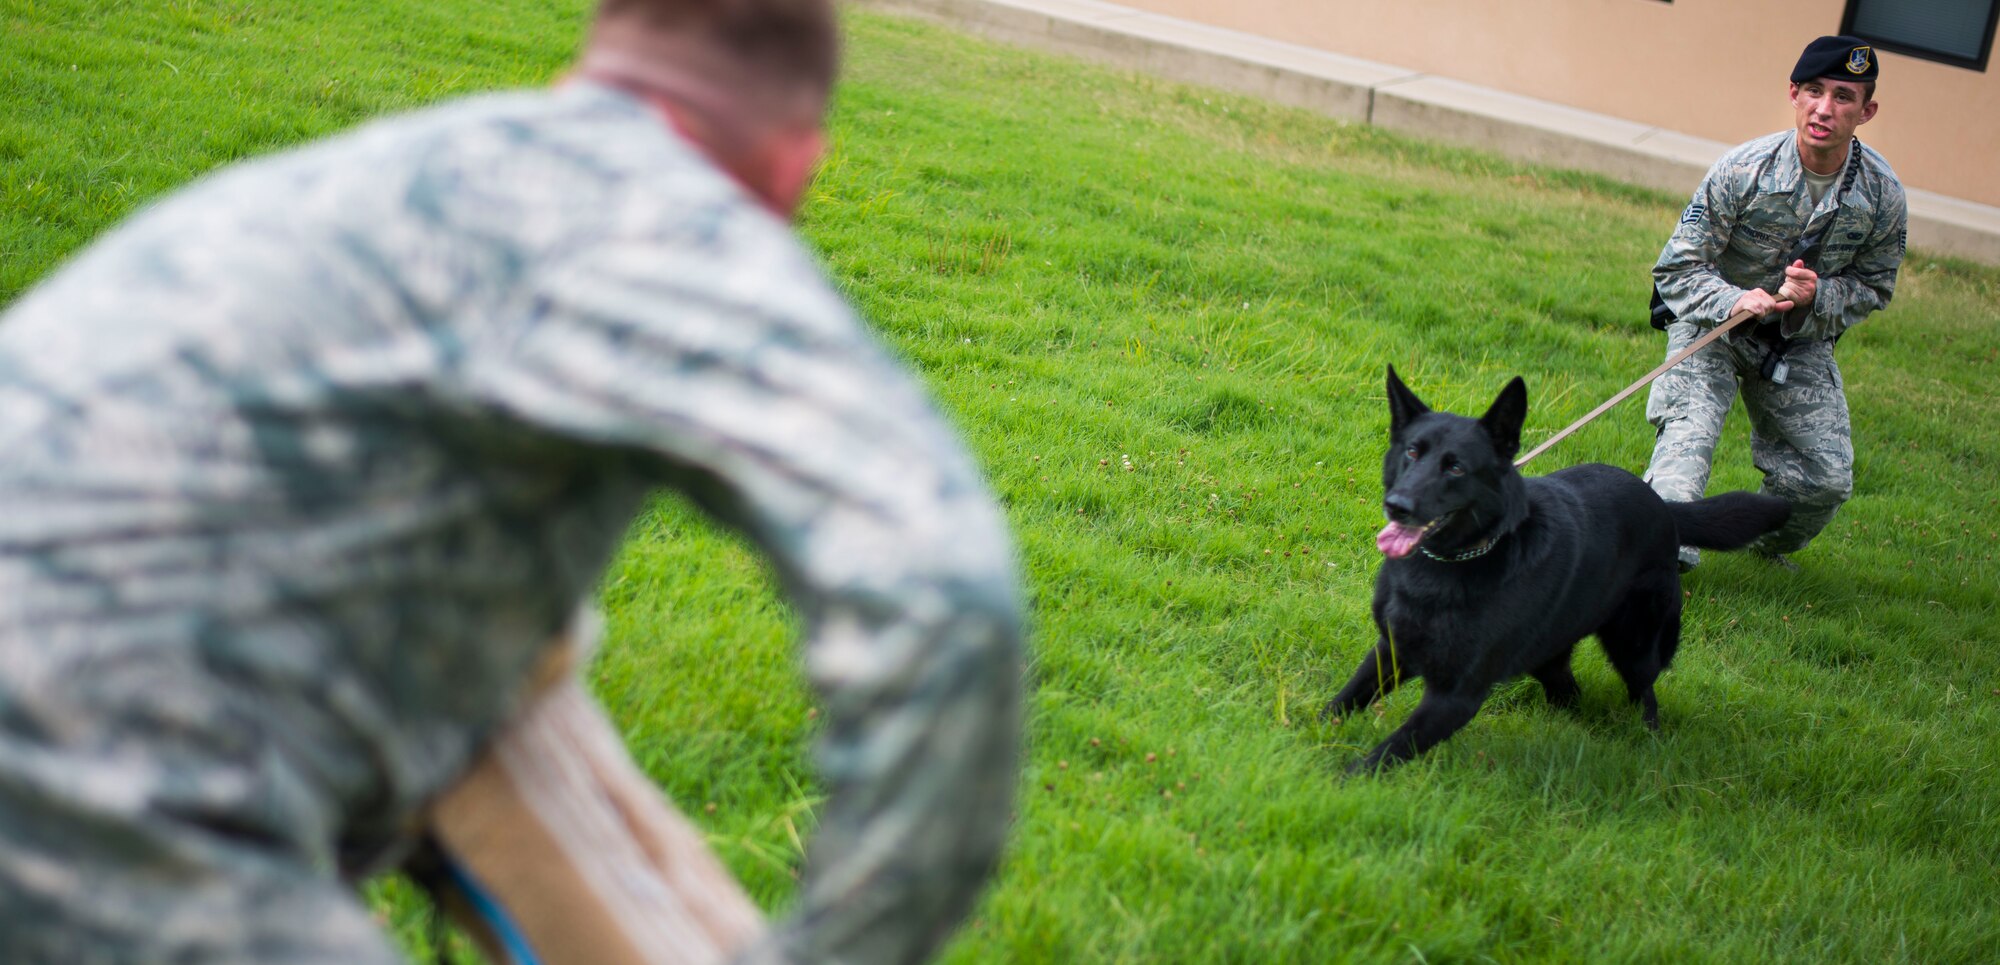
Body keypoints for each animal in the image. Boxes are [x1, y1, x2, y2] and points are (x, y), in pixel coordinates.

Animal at [1320, 366, 1792, 772]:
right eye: (1412, 452)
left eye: (1455, 467)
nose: (1397, 505)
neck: (1454, 563)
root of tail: (1666, 507)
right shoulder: (1392, 648)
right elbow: (1344, 699)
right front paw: (1307, 738)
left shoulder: (1456, 696)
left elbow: (1391, 749)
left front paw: (1341, 781)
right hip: (1549, 651)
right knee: (1569, 690)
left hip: (1635, 643)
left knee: (1645, 692)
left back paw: (1646, 742)